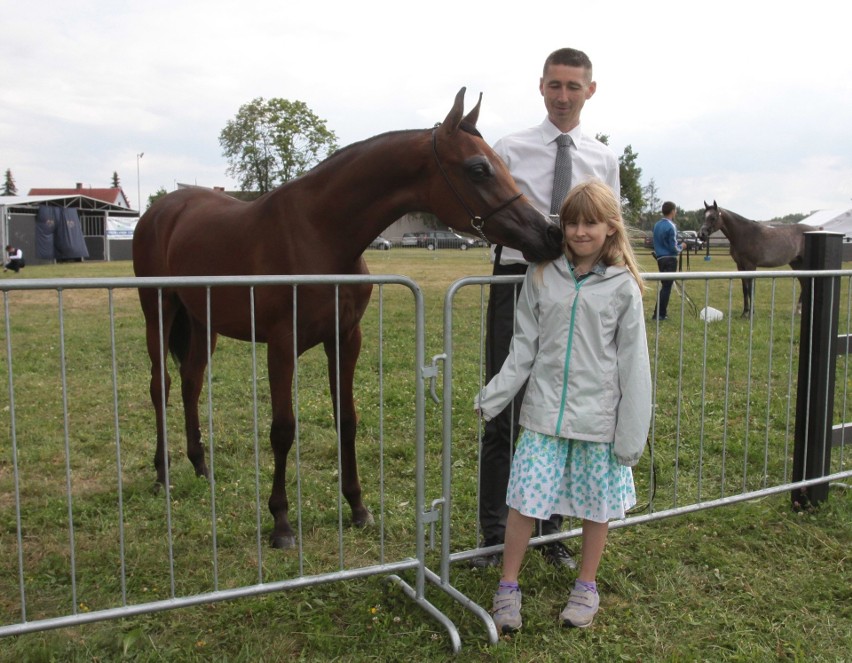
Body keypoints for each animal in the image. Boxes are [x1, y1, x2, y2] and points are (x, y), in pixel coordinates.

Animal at [131, 88, 560, 548]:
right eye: (478, 168)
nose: (548, 235)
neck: (319, 233)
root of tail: (162, 209)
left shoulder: (345, 338)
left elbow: (348, 421)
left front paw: (357, 507)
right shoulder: (281, 345)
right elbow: (283, 429)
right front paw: (281, 522)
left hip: (201, 323)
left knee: (191, 383)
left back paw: (200, 467)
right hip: (157, 311)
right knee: (161, 385)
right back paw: (162, 475)